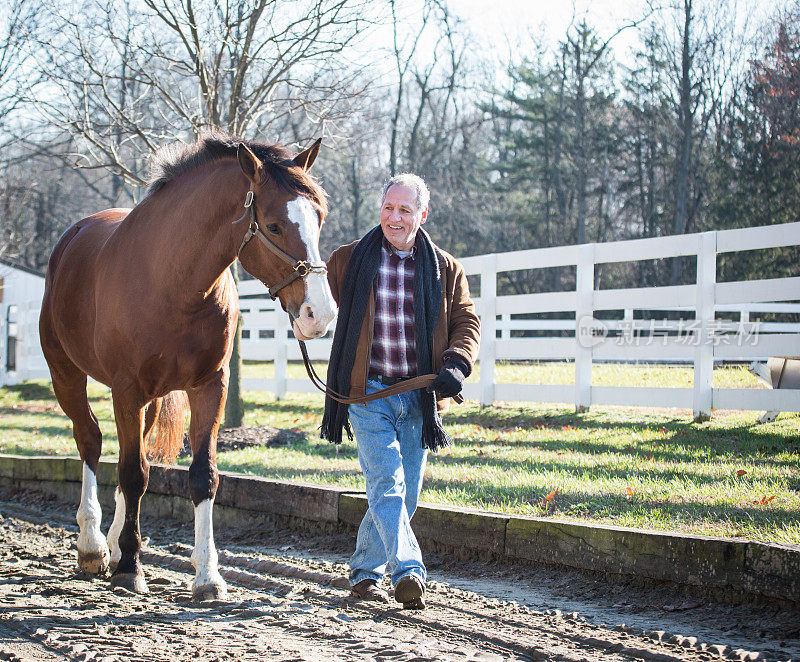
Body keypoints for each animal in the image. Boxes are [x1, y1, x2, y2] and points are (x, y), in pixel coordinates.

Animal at [39, 135, 338, 600]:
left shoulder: (210, 386)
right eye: (273, 226)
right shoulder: (127, 389)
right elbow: (134, 473)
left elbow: (201, 476)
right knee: (90, 440)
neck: (174, 281)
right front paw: (130, 568)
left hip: (147, 402)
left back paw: (114, 542)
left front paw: (207, 576)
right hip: (66, 374)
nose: (318, 315)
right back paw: (92, 546)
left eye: (319, 219)